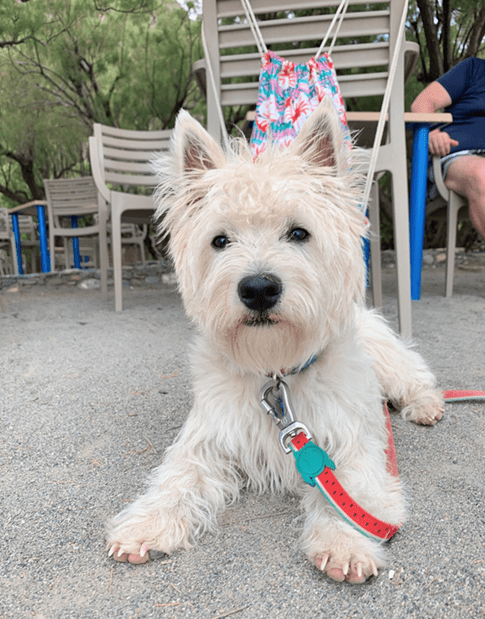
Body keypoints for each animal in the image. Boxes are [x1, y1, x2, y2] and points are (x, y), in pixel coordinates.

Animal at [106, 99, 442, 584]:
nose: (259, 288)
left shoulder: (351, 444)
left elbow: (351, 495)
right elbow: (177, 479)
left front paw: (344, 543)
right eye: (220, 240)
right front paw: (147, 523)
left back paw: (426, 406)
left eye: (299, 232)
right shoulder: (206, 440)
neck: (277, 372)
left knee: (415, 376)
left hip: (387, 359)